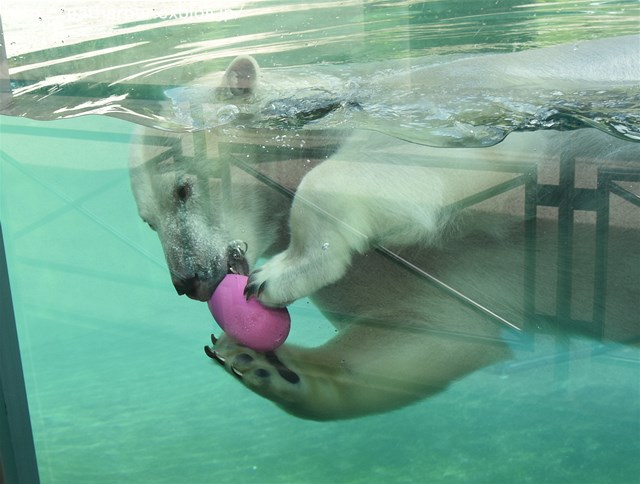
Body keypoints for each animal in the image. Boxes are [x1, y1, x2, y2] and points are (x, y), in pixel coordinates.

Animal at [131, 36, 640, 420]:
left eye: (183, 190)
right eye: (147, 219)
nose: (188, 280)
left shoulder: (457, 115)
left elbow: (414, 161)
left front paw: (279, 274)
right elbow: (425, 333)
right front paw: (259, 362)